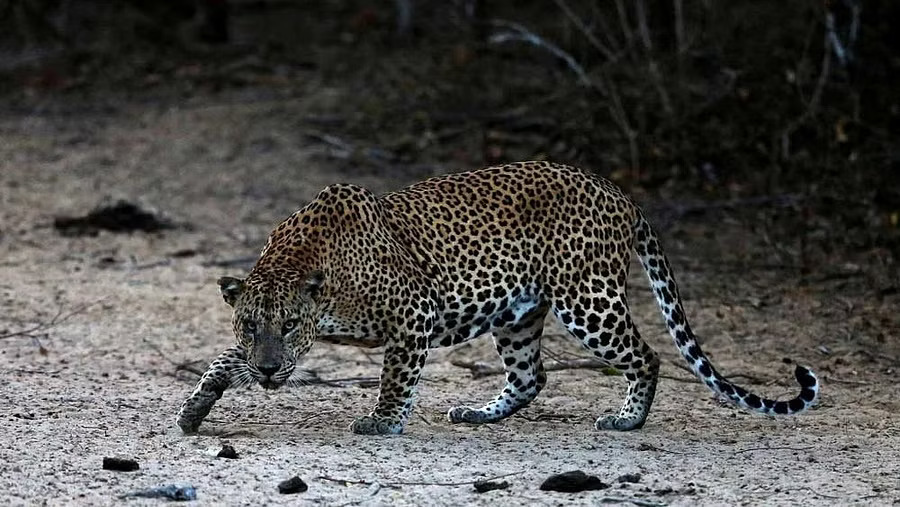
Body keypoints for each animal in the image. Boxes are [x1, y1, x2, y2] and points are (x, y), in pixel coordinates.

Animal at [178, 161, 824, 434]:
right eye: (252, 325)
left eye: (289, 325)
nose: (270, 368)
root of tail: (618, 193)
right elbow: (224, 362)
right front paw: (198, 403)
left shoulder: (414, 316)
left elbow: (394, 377)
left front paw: (383, 422)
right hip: (517, 314)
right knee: (531, 375)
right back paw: (478, 412)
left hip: (588, 300)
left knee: (647, 356)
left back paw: (627, 420)